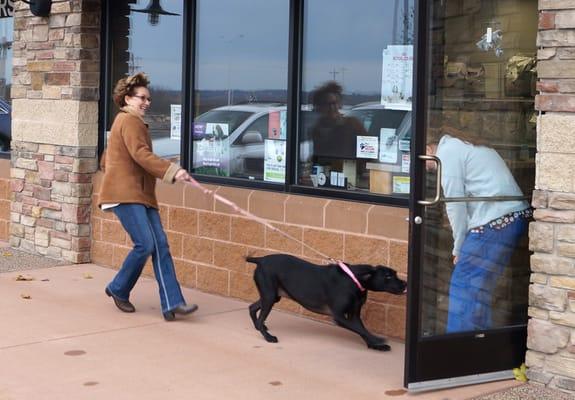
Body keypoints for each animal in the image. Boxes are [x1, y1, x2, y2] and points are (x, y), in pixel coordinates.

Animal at [246, 255, 404, 352]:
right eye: (388, 276)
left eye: (395, 274)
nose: (405, 284)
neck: (355, 279)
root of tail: (260, 260)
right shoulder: (339, 317)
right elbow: (361, 330)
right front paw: (377, 339)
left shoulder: (354, 315)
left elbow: (362, 330)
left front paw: (374, 345)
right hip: (269, 296)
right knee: (260, 316)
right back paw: (268, 336)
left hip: (272, 296)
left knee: (252, 308)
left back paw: (260, 328)